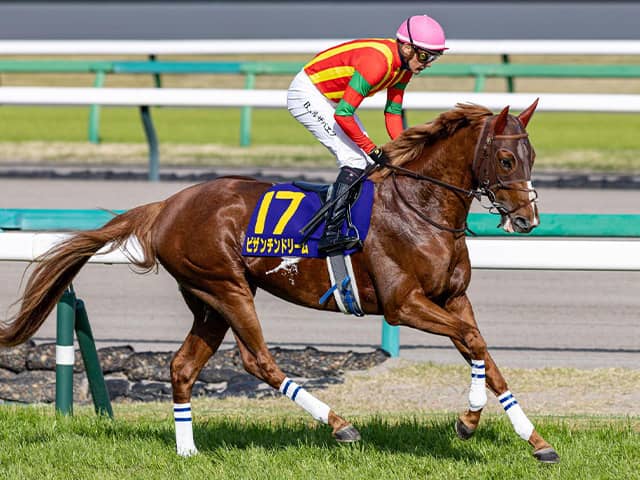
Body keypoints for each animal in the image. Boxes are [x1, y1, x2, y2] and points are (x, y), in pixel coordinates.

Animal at [0, 100, 559, 463]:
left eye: (532, 158)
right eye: (506, 158)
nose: (528, 220)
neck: (419, 208)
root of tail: (166, 205)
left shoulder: (454, 298)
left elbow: (483, 350)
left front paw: (536, 441)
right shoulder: (404, 305)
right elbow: (472, 343)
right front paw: (468, 421)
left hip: (208, 300)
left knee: (182, 366)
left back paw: (188, 451)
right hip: (227, 286)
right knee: (258, 360)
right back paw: (340, 425)